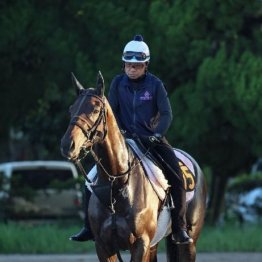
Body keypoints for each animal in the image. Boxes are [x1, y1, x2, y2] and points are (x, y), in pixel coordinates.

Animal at [61, 70, 207, 260]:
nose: (67, 145)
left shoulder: (140, 243)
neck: (118, 184)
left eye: (95, 109)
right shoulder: (103, 246)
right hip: (154, 244)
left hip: (189, 243)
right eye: (71, 109)